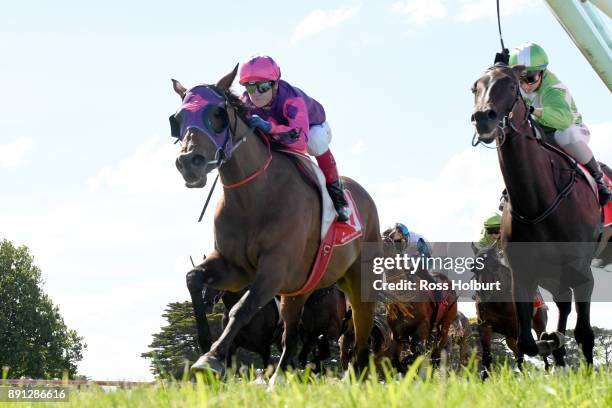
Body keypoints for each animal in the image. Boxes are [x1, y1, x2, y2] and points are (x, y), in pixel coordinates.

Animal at [172, 65, 382, 378]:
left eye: (217, 114)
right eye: (177, 119)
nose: (189, 162)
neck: (253, 197)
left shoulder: (274, 269)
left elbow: (241, 309)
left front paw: (211, 358)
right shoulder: (235, 267)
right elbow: (193, 278)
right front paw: (206, 343)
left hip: (358, 283)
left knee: (361, 334)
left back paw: (353, 377)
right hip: (298, 291)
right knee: (291, 337)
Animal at [468, 64, 608, 366]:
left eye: (510, 84)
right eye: (475, 86)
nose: (483, 117)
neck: (537, 203)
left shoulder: (581, 271)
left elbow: (585, 333)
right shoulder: (522, 274)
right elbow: (527, 343)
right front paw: (550, 342)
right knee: (561, 304)